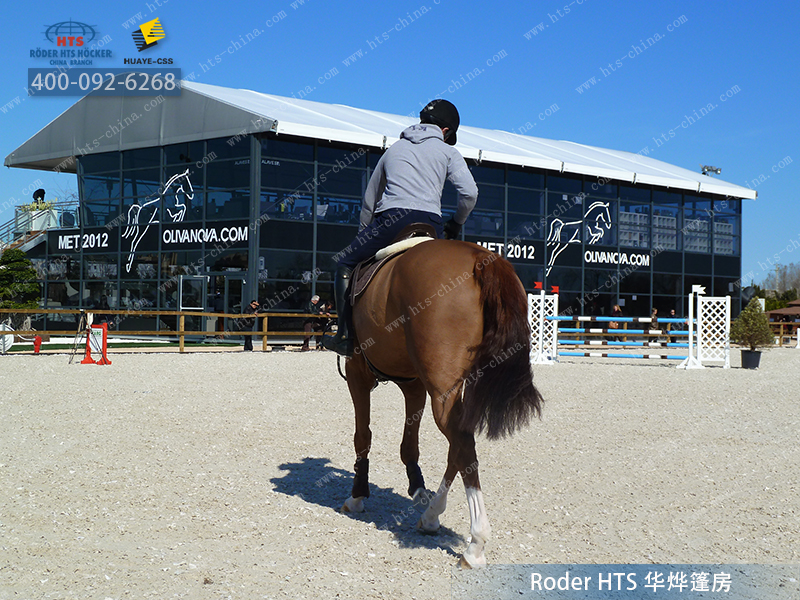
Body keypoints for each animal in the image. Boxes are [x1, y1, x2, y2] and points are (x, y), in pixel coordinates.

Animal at [340, 239, 540, 568]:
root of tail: (481, 257)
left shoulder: (357, 374)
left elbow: (363, 436)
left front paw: (357, 495)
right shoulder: (414, 384)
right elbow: (410, 443)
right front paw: (417, 489)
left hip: (441, 389)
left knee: (463, 443)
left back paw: (475, 544)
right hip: (449, 389)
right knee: (458, 447)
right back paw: (432, 515)